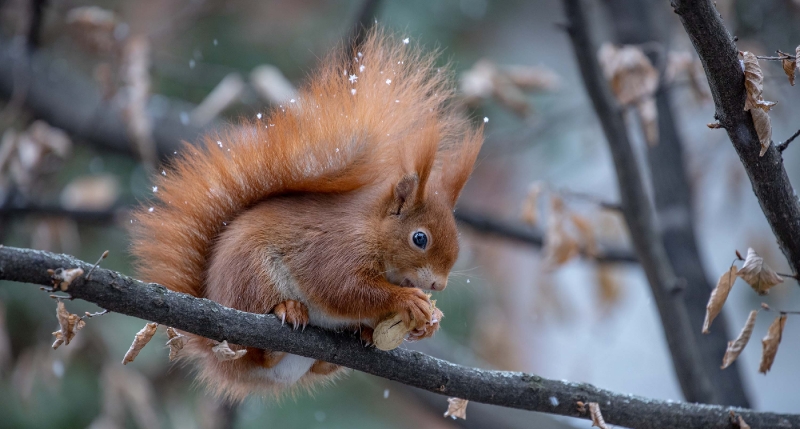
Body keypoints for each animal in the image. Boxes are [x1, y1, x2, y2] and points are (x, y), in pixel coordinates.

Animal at [130, 29, 482, 398]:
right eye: (419, 238)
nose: (438, 284)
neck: (372, 231)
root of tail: (216, 354)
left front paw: (430, 324)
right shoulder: (336, 249)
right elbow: (344, 288)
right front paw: (408, 300)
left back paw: (356, 338)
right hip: (251, 277)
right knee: (258, 345)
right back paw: (288, 311)